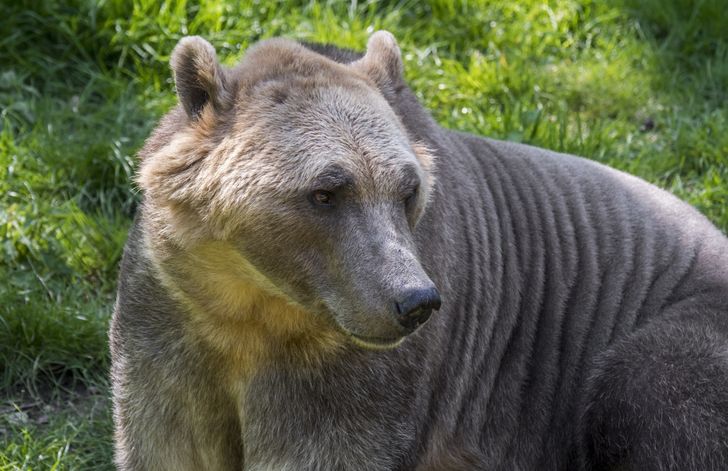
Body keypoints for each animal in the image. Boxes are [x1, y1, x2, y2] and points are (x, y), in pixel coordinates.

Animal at [108, 31, 728, 470]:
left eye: (408, 190)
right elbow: (164, 442)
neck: (251, 304)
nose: (414, 301)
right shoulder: (168, 324)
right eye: (326, 191)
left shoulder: (356, 379)